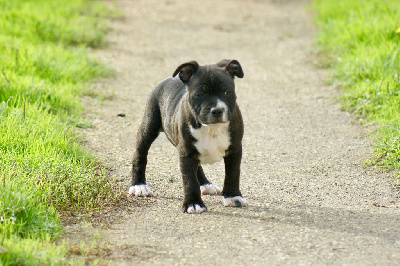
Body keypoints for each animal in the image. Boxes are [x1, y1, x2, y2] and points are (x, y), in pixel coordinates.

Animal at [128, 59, 247, 213]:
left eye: (227, 91)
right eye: (200, 94)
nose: (217, 110)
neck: (211, 128)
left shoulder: (235, 149)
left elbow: (233, 174)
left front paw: (233, 197)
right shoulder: (186, 152)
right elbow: (189, 180)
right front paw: (193, 203)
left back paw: (205, 184)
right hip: (149, 126)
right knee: (140, 154)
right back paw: (139, 185)